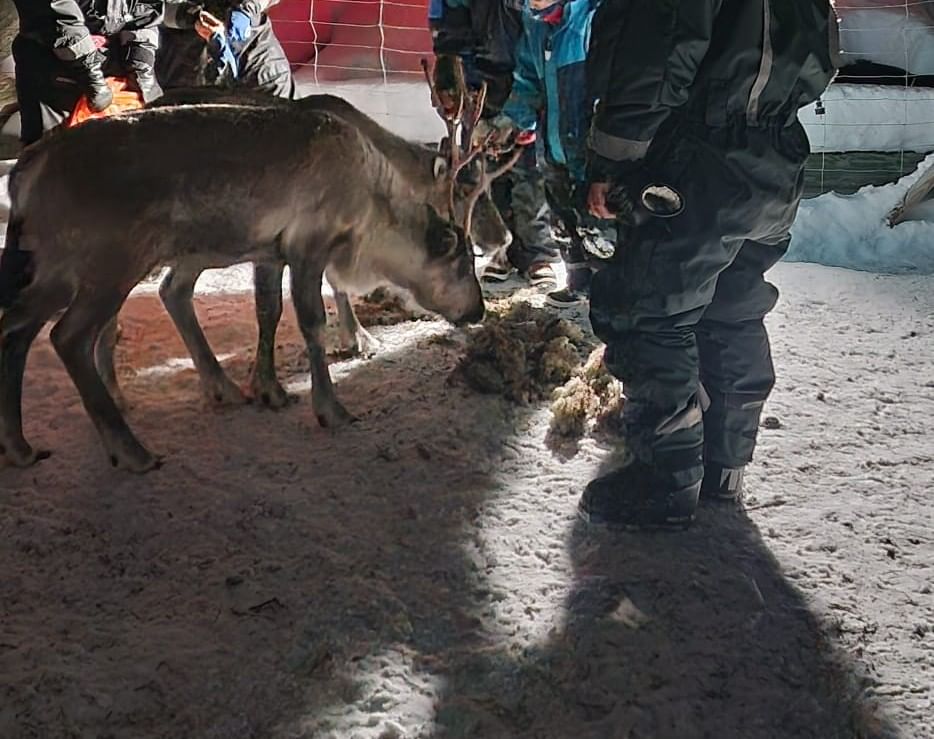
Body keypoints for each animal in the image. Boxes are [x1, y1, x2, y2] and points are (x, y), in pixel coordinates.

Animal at [0, 65, 519, 473]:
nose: (477, 311)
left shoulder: (271, 251)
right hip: (112, 261)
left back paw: (21, 447)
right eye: (463, 263)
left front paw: (270, 389)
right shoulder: (310, 243)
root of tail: (24, 172)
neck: (370, 212)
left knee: (18, 328)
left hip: (55, 268)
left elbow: (269, 311)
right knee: (68, 335)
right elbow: (311, 321)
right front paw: (331, 406)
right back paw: (131, 450)